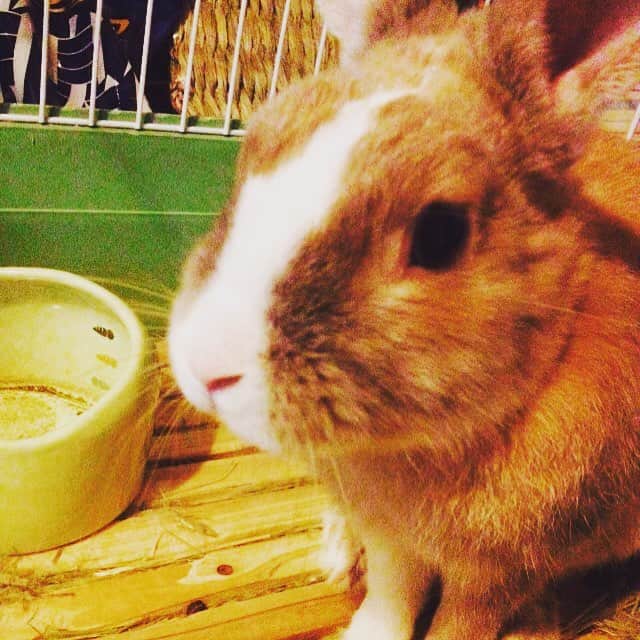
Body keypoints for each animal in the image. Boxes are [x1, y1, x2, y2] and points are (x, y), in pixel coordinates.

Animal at [168, 0, 640, 638]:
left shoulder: (500, 572)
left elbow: (460, 623)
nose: (206, 366)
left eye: (441, 234)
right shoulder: (394, 540)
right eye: (252, 154)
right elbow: (392, 595)